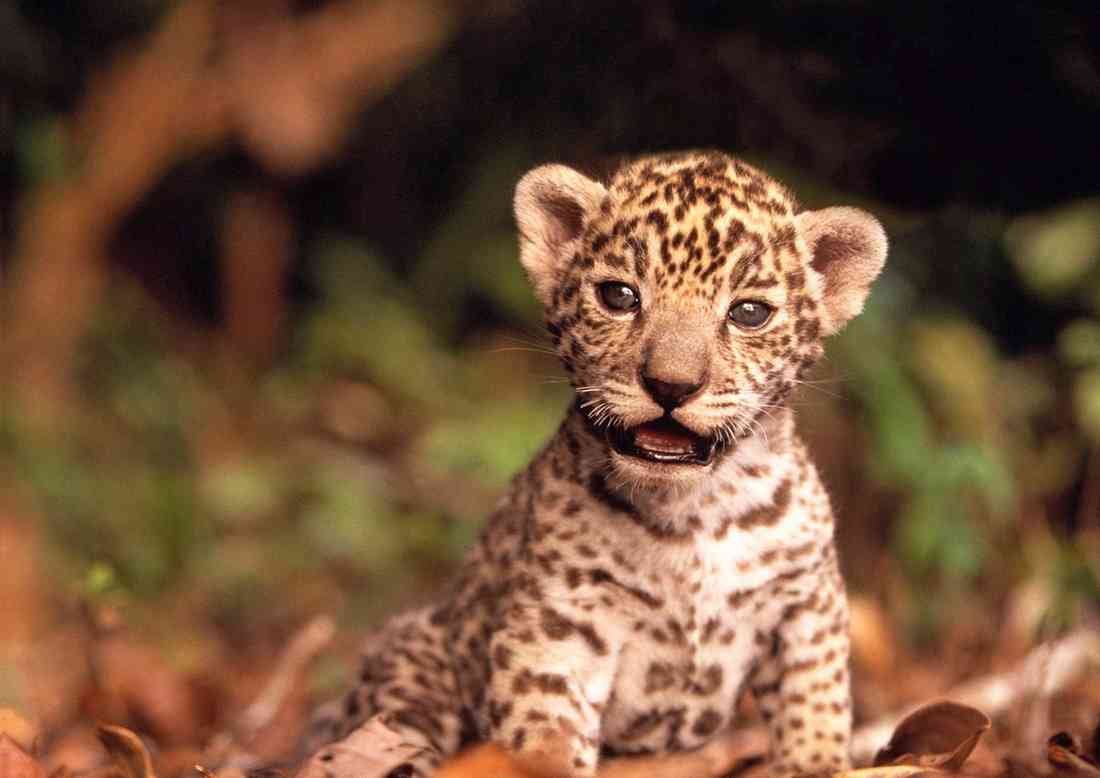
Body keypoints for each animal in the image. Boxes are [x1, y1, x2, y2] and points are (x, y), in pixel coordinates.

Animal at [306, 150, 887, 778]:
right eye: (619, 296)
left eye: (749, 313)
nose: (671, 385)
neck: (694, 512)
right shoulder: (561, 625)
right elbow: (546, 734)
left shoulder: (806, 607)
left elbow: (815, 707)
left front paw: (815, 759)